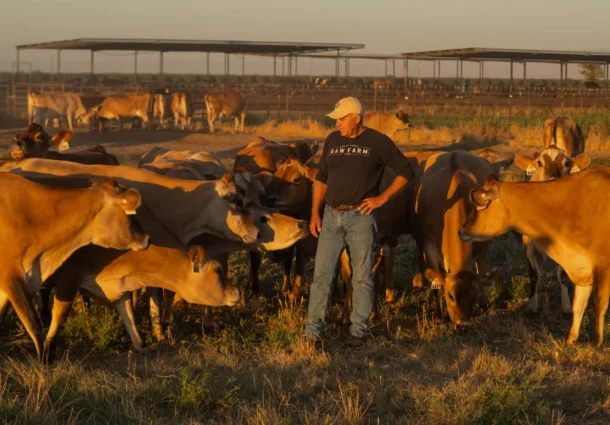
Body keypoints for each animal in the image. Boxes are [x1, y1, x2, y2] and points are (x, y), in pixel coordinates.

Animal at [458, 166, 608, 344]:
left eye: (481, 205)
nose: (461, 231)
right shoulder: (581, 266)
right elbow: (578, 305)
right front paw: (571, 339)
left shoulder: (603, 266)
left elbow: (599, 304)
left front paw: (596, 342)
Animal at [510, 144, 592, 314]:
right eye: (539, 163)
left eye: (567, 163)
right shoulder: (529, 247)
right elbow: (533, 274)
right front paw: (532, 305)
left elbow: (562, 275)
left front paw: (566, 306)